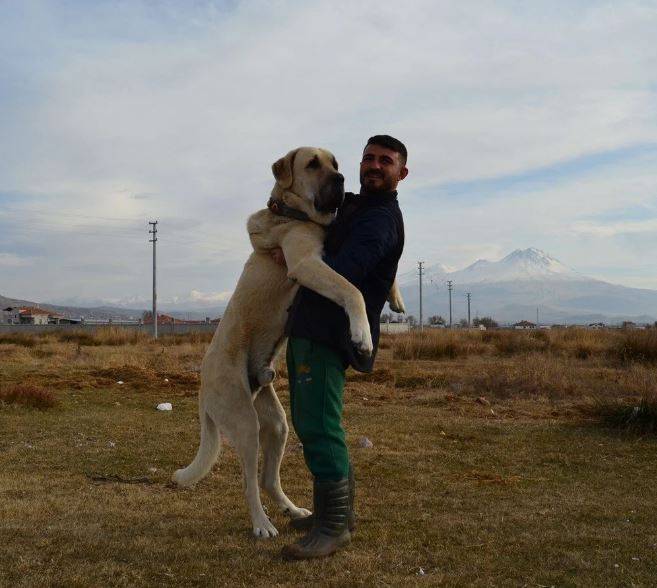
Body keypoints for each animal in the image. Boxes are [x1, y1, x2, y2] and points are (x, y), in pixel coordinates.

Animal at [172, 146, 402, 536]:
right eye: (312, 164)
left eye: (336, 164)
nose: (342, 180)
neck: (298, 214)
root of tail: (202, 389)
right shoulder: (307, 263)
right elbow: (352, 290)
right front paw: (362, 334)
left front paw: (397, 298)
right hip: (245, 423)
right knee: (249, 482)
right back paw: (262, 524)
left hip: (276, 422)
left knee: (267, 478)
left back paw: (293, 510)